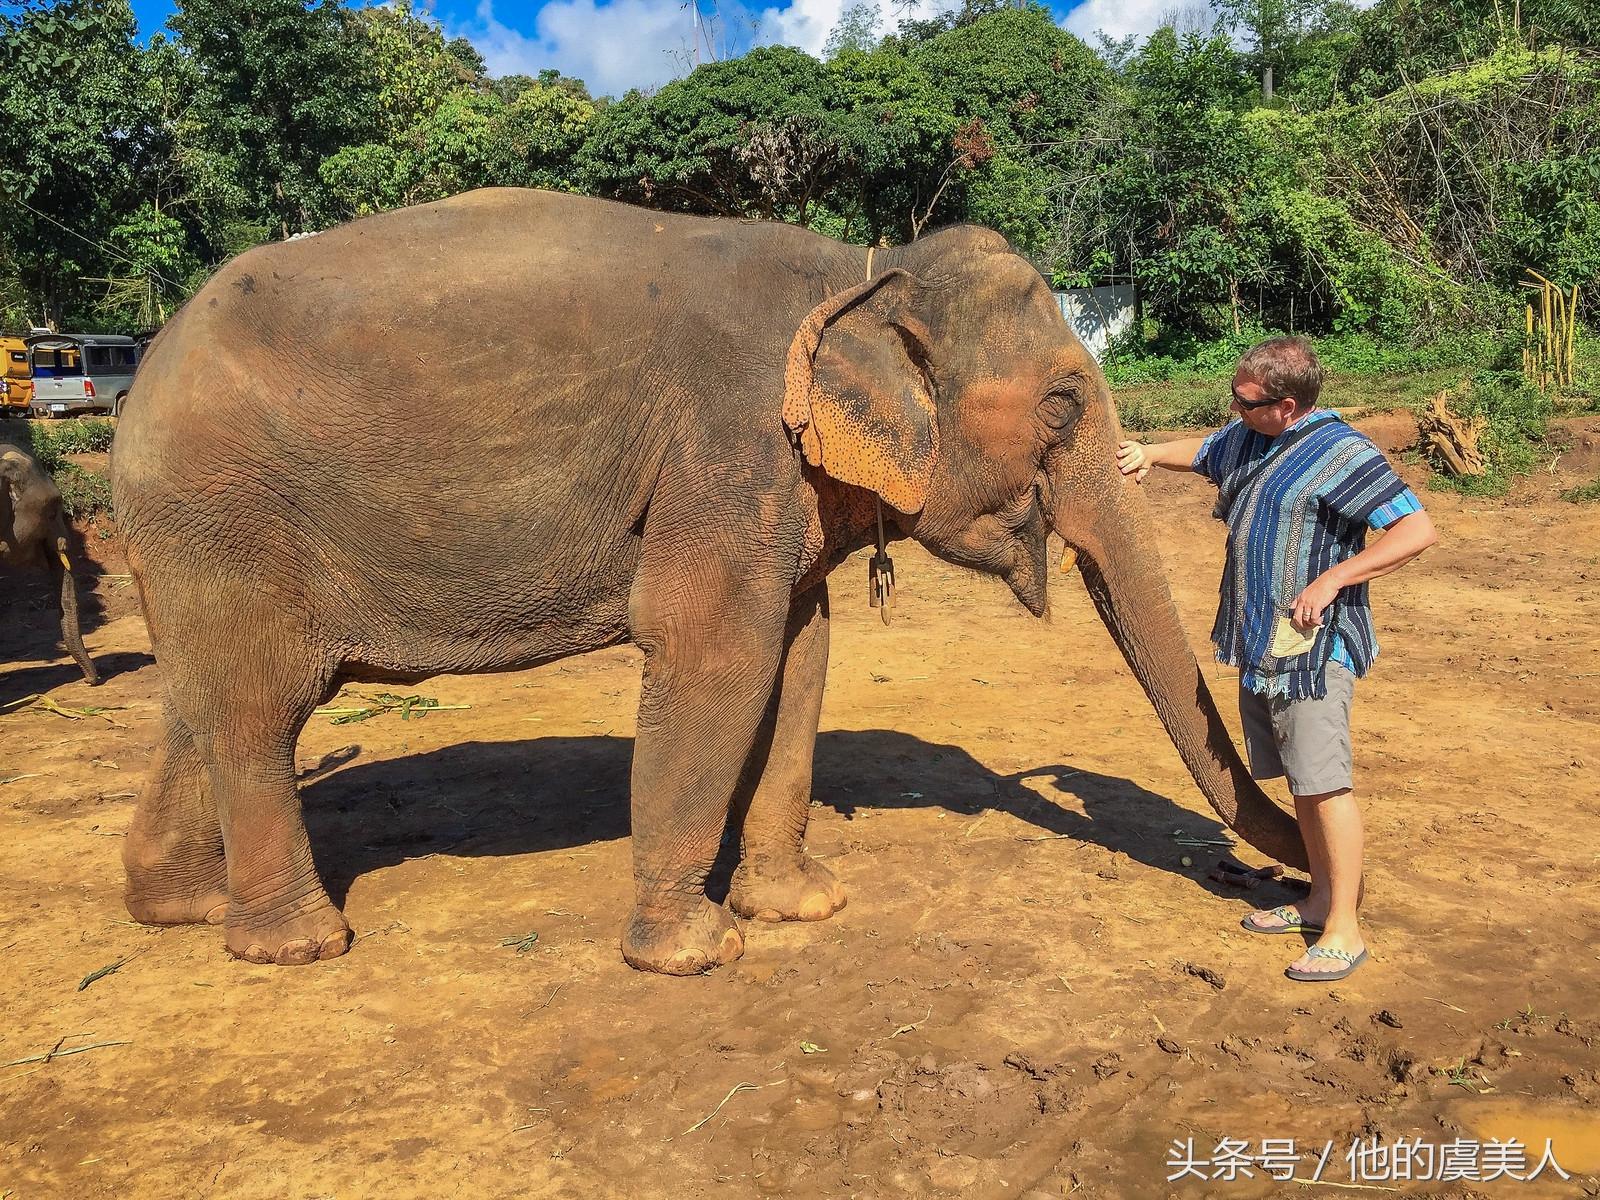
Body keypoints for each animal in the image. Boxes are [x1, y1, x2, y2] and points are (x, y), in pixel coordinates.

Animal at [116, 188, 1312, 979]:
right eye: (1062, 403)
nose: (1276, 881)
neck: (862, 272)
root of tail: (142, 376)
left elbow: (802, 652)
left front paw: (804, 907)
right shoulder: (727, 447)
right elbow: (715, 651)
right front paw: (694, 952)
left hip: (197, 542)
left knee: (201, 708)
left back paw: (182, 906)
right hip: (225, 512)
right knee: (261, 711)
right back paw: (300, 944)